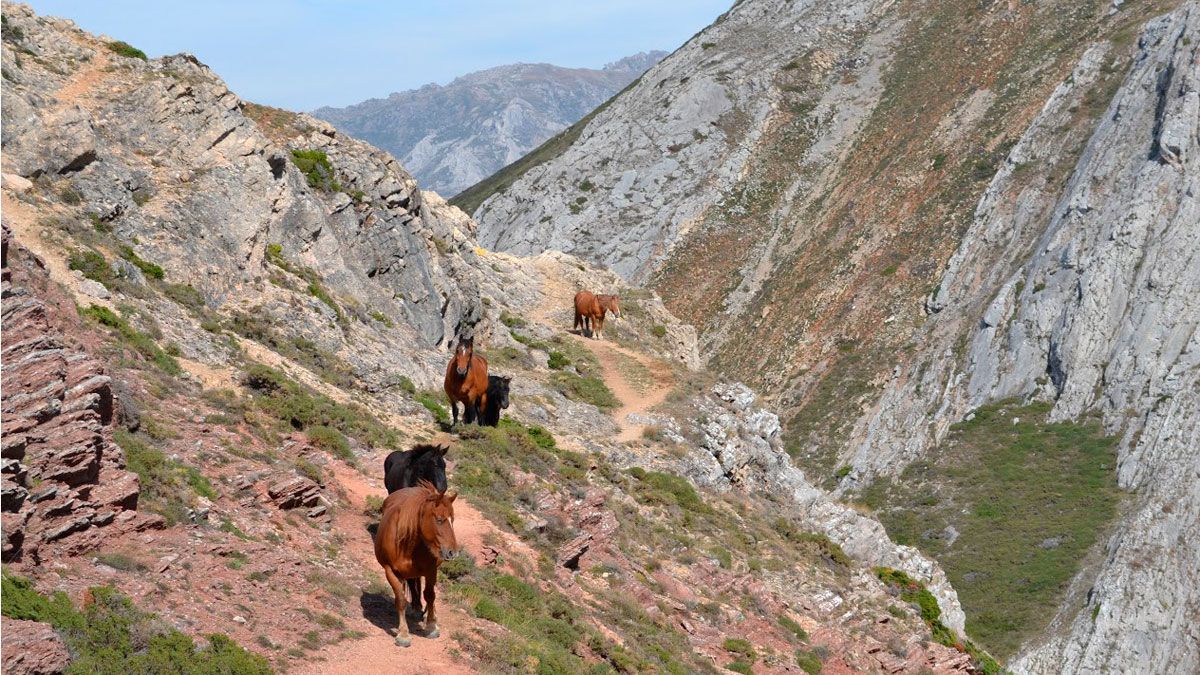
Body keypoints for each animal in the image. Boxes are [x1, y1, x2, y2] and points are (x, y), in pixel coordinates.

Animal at [372, 478, 456, 648]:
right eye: (439, 519)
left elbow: (430, 595)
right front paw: (403, 634)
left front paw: (431, 626)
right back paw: (417, 607)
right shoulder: (390, 571)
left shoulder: (431, 570)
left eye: (453, 520)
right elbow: (401, 600)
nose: (452, 552)